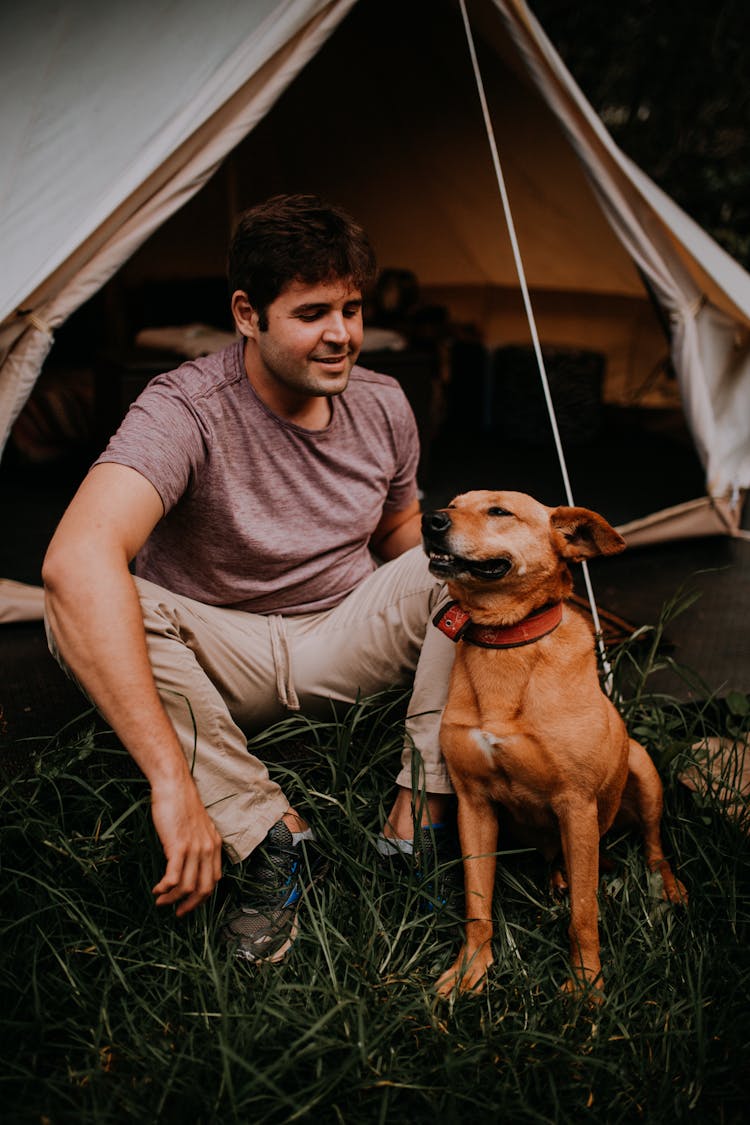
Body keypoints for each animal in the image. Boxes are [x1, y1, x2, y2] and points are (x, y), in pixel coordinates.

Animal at [422, 488, 688, 999]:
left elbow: (585, 914)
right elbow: (478, 906)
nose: (430, 520)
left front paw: (586, 986)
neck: (507, 645)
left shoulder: (577, 805)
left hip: (642, 770)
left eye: (499, 511)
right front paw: (470, 969)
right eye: (453, 502)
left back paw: (666, 885)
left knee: (652, 844)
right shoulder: (473, 805)